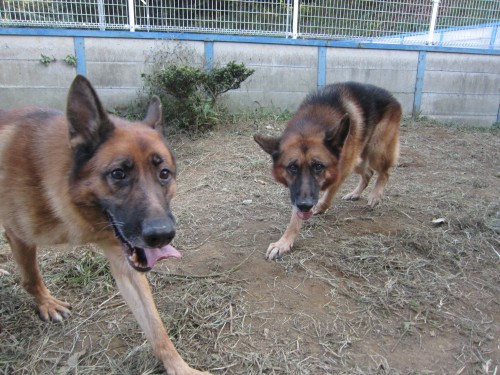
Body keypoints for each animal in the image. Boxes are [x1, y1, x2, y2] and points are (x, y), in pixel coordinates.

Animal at [0, 75, 209, 374]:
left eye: (164, 174)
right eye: (118, 174)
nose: (162, 236)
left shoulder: (124, 260)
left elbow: (156, 328)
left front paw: (179, 367)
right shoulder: (19, 236)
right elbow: (31, 277)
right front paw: (46, 303)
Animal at [256, 81, 400, 262]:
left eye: (318, 166)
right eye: (292, 167)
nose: (305, 206)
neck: (312, 123)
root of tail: (391, 96)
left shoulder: (340, 171)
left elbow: (329, 194)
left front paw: (320, 207)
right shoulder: (299, 193)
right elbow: (295, 217)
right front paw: (284, 242)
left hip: (376, 151)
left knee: (384, 172)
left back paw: (375, 195)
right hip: (358, 159)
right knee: (368, 173)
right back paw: (355, 193)